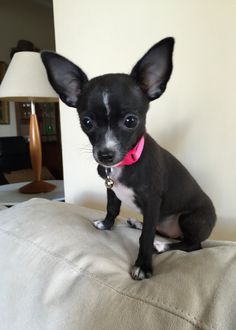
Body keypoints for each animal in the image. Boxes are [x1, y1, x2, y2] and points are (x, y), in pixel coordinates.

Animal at [40, 38, 216, 282]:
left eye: (131, 121)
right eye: (86, 122)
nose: (105, 154)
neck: (125, 163)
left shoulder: (152, 203)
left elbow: (146, 238)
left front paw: (143, 265)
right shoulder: (112, 190)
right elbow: (112, 208)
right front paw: (106, 224)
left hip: (191, 219)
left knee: (192, 244)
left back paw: (162, 246)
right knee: (159, 229)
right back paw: (137, 223)